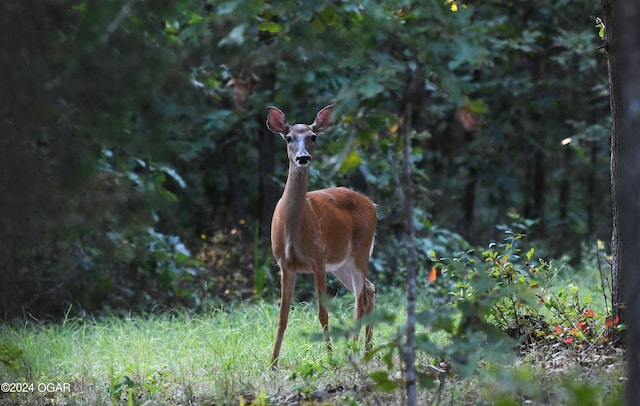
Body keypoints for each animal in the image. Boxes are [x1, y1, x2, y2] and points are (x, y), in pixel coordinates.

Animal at [264, 104, 376, 368]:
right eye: (288, 137)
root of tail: (372, 204)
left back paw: (352, 352)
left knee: (360, 300)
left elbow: (323, 314)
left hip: (360, 251)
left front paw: (330, 357)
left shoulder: (317, 259)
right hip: (341, 263)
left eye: (313, 136)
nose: (303, 157)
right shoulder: (285, 264)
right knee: (369, 290)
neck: (293, 228)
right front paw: (273, 364)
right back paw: (367, 350)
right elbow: (282, 317)